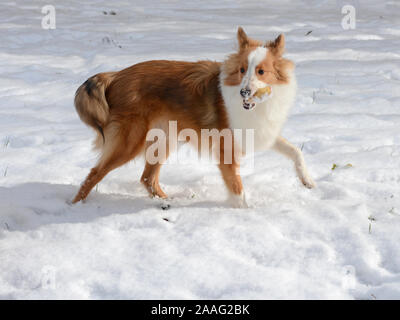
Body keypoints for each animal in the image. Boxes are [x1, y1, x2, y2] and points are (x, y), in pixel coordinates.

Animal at [72, 27, 316, 208]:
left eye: (261, 71)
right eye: (242, 70)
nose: (244, 92)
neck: (255, 105)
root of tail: (115, 76)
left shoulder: (262, 131)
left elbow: (296, 152)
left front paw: (308, 181)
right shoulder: (226, 150)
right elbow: (237, 189)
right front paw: (245, 212)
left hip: (164, 139)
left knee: (147, 178)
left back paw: (168, 201)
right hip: (130, 142)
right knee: (94, 173)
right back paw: (74, 206)